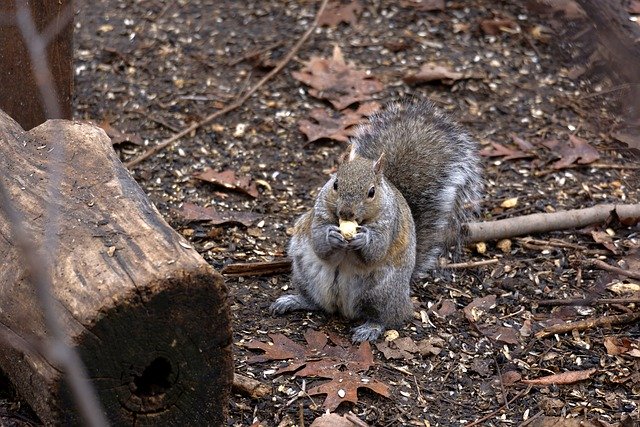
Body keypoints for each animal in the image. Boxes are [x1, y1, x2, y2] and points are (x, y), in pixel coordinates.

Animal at [268, 98, 482, 342]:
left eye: (371, 192)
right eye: (335, 184)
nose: (346, 213)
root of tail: (341, 307)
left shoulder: (389, 225)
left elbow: (375, 252)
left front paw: (364, 239)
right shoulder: (318, 215)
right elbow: (320, 245)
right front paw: (331, 236)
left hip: (381, 292)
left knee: (387, 318)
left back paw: (371, 327)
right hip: (305, 273)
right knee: (316, 303)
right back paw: (294, 301)